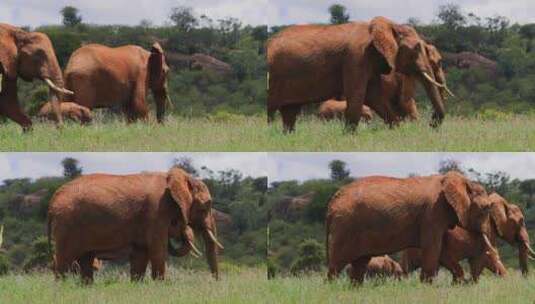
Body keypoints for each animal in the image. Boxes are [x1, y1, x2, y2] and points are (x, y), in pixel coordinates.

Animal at [46, 167, 222, 284]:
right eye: (206, 205)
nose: (215, 283)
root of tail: (52, 203)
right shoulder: (156, 212)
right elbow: (157, 249)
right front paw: (160, 286)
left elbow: (141, 253)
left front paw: (137, 286)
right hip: (67, 225)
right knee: (64, 261)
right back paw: (61, 287)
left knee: (86, 260)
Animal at [268, 16, 452, 131]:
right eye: (416, 49)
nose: (431, 124)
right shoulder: (356, 57)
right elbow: (358, 95)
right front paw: (348, 137)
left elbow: (376, 97)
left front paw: (398, 130)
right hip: (276, 76)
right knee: (272, 110)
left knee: (290, 111)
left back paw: (288, 135)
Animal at [328, 170, 496, 284]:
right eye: (486, 208)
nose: (470, 283)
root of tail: (332, 201)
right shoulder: (432, 214)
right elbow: (433, 247)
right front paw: (427, 286)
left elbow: (440, 249)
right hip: (345, 226)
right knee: (337, 263)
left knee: (359, 263)